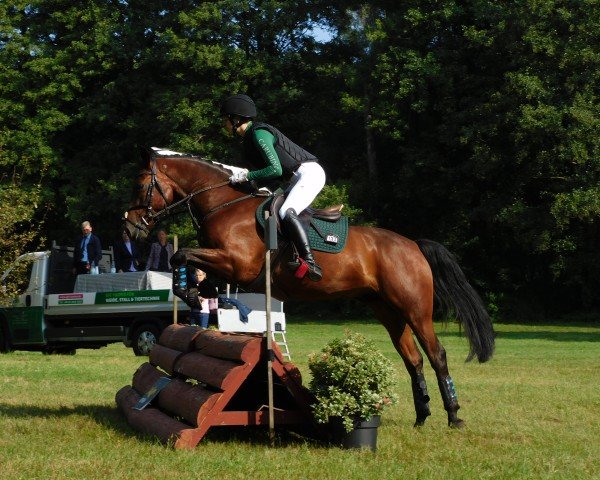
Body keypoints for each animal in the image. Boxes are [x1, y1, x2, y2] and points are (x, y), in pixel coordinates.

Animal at [124, 147, 494, 428]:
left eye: (141, 185)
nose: (129, 229)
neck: (223, 204)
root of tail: (413, 245)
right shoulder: (226, 265)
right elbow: (188, 263)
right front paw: (194, 295)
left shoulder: (237, 263)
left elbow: (181, 254)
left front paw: (189, 293)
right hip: (388, 310)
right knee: (413, 358)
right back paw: (422, 416)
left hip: (415, 309)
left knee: (436, 354)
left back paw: (453, 416)